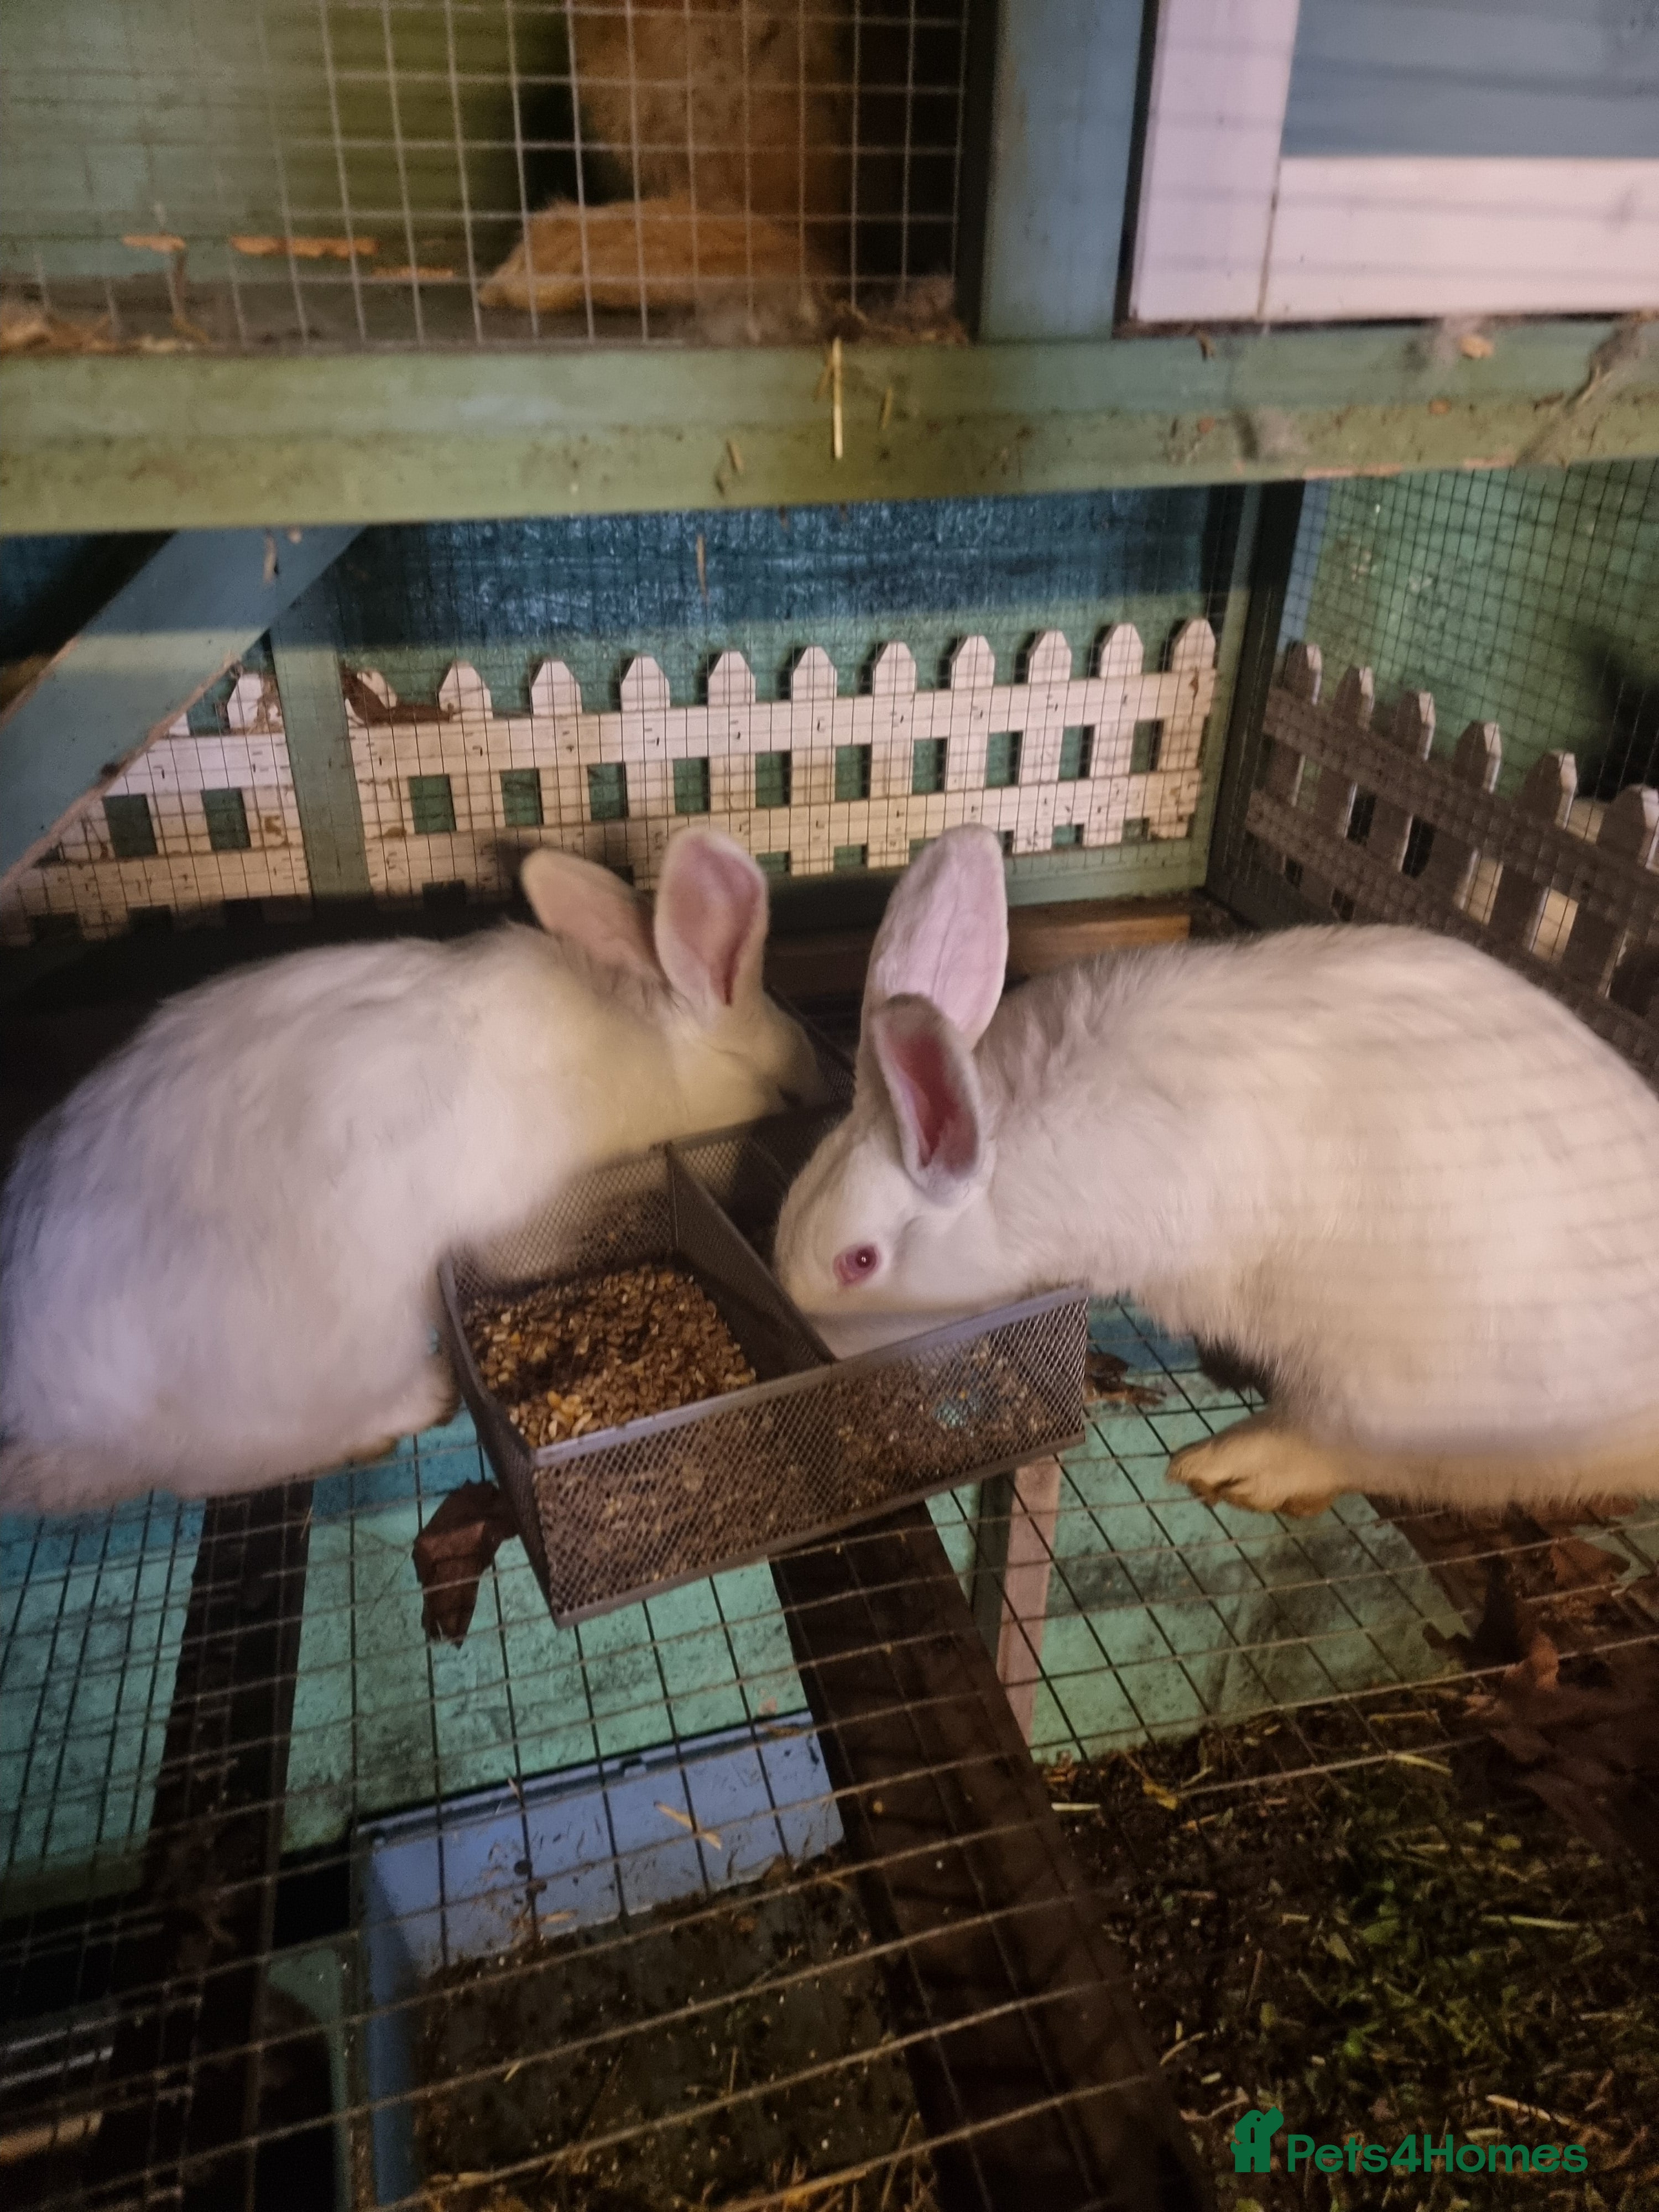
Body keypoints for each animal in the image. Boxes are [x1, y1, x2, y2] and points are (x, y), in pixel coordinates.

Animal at [0, 828, 824, 1512]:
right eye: (784, 1095)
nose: (813, 1103)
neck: (654, 1062)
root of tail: (41, 1408)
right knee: (218, 1471)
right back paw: (417, 1405)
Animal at [774, 825, 1659, 1518]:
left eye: (859, 1262)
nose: (811, 1341)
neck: (1010, 1156)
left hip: (1397, 1379)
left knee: (1362, 1450)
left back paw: (1237, 1466)